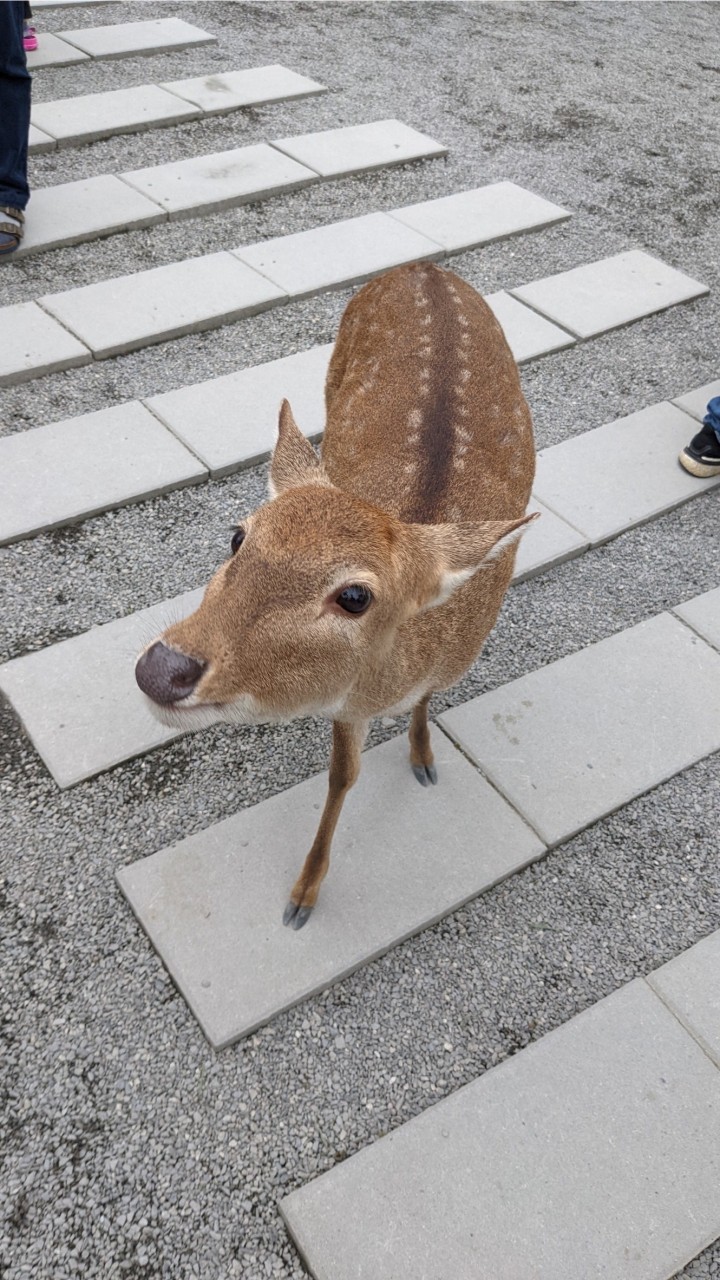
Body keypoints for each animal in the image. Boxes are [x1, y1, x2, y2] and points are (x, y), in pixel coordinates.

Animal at [137, 264, 535, 936]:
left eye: (354, 595)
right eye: (238, 536)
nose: (162, 668)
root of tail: (424, 267)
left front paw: (424, 759)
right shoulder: (349, 707)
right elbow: (343, 775)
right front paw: (302, 897)